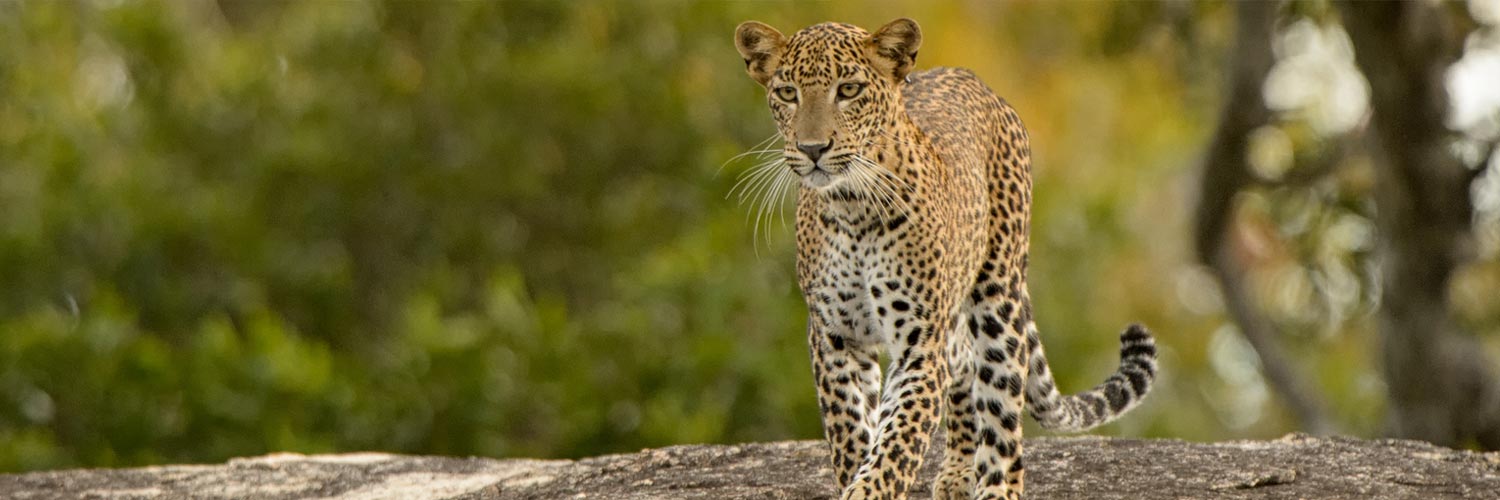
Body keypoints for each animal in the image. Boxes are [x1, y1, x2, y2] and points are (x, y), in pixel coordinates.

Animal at [731, 18, 1159, 500]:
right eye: (788, 93)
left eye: (849, 90)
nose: (812, 148)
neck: (851, 206)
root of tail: (971, 77)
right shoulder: (834, 337)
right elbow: (850, 430)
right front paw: (856, 472)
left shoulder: (918, 340)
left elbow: (899, 439)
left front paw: (872, 485)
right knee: (964, 363)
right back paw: (957, 471)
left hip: (998, 293)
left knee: (1001, 403)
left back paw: (993, 484)